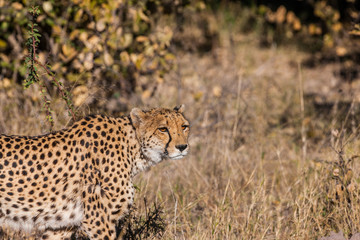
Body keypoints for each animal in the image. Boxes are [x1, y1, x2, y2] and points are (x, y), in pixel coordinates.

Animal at [0, 106, 191, 239]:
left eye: (184, 126)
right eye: (163, 129)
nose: (182, 147)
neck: (133, 148)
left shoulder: (61, 226)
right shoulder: (98, 222)